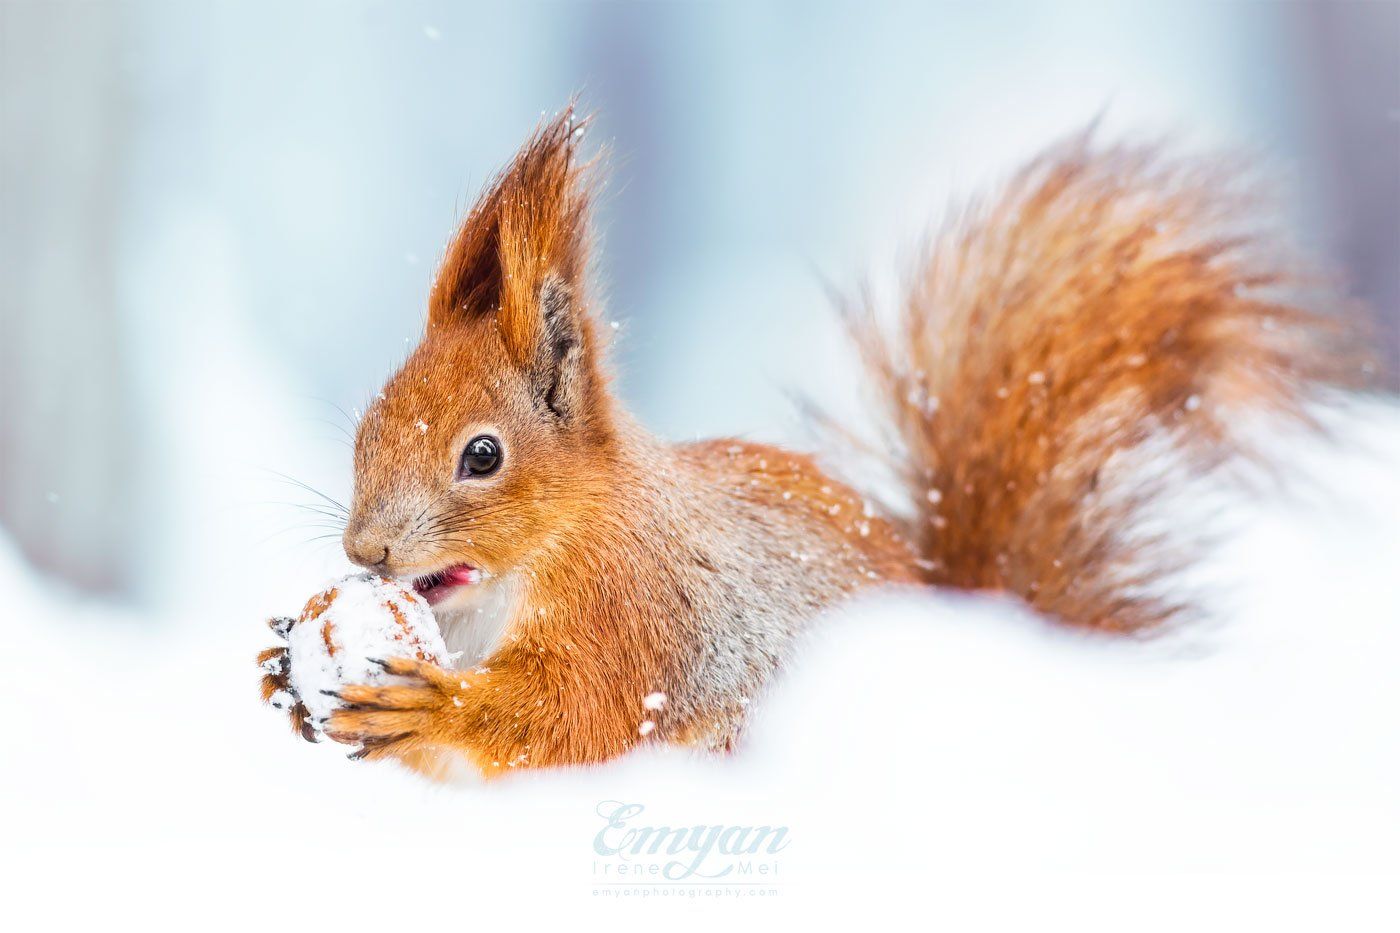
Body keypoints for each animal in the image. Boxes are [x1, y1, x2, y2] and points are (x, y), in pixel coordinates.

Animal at [257, 105, 1360, 773]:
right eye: (365, 427)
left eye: (481, 455)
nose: (365, 551)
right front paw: (281, 666)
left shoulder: (635, 613)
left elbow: (570, 717)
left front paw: (430, 712)